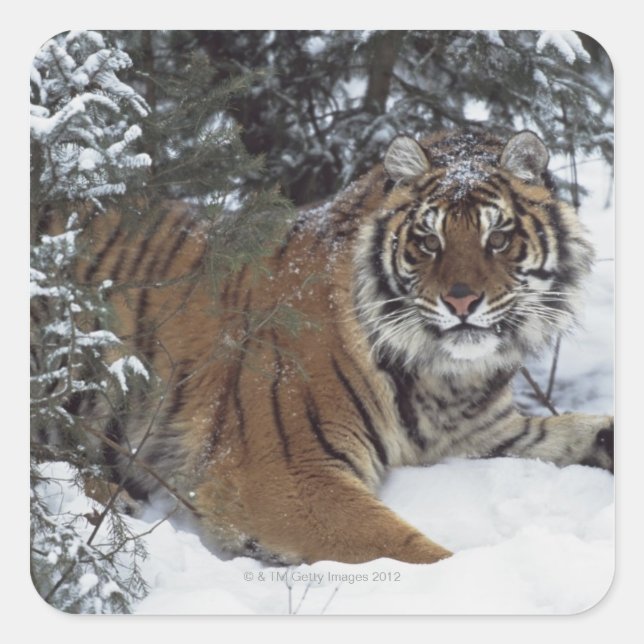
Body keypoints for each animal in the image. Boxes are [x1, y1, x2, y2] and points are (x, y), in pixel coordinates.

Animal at [56, 129, 614, 565]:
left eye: (496, 238)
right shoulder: (285, 473)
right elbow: (404, 548)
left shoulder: (485, 435)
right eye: (429, 241)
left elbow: (585, 431)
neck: (445, 374)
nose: (461, 300)